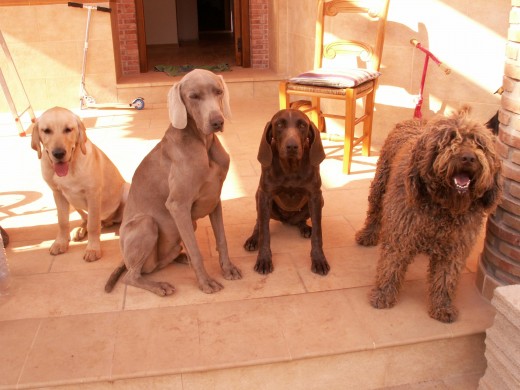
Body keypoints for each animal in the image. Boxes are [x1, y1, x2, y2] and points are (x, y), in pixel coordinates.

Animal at [31, 106, 128, 262]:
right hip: (73, 201)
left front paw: (93, 249)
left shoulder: (93, 194)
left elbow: (93, 225)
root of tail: (108, 220)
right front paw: (60, 243)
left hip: (126, 189)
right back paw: (80, 229)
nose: (58, 153)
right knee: (86, 218)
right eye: (46, 131)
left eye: (68, 129)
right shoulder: (58, 194)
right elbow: (62, 222)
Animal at [107, 69, 244, 296]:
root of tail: (124, 260)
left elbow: (222, 239)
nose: (217, 122)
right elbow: (196, 251)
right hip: (146, 224)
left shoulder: (215, 200)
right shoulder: (178, 206)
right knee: (132, 276)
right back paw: (159, 285)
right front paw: (206, 282)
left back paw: (180, 257)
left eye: (219, 91)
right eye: (193, 96)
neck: (203, 144)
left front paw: (228, 268)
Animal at [244, 108, 330, 276]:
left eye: (302, 125)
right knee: (259, 222)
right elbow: (265, 233)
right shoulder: (265, 196)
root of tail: (287, 220)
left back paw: (304, 227)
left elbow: (318, 234)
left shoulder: (315, 196)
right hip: (259, 198)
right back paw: (253, 238)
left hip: (320, 201)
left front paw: (319, 259)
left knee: (301, 220)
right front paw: (264, 259)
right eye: (279, 124)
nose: (292, 146)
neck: (291, 167)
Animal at [356, 106, 502, 322]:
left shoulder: (455, 247)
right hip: (380, 184)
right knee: (374, 212)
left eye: (479, 143)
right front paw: (383, 294)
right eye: (449, 139)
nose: (468, 157)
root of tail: (417, 120)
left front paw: (442, 306)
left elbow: (446, 278)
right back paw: (367, 235)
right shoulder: (401, 232)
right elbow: (391, 265)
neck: (442, 206)